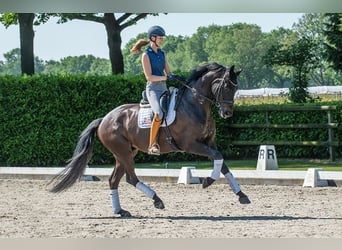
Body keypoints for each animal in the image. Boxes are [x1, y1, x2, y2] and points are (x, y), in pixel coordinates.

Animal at [49, 62, 250, 217]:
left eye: (236, 88)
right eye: (226, 86)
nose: (227, 113)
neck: (195, 105)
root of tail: (104, 119)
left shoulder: (208, 143)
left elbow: (222, 163)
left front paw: (241, 195)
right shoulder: (191, 144)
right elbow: (218, 157)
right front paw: (208, 181)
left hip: (125, 153)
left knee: (114, 180)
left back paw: (120, 211)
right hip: (122, 151)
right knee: (131, 178)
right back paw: (157, 200)